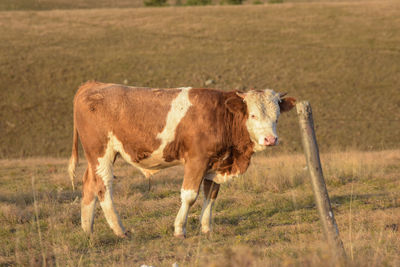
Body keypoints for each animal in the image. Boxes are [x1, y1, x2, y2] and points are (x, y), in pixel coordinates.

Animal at [67, 80, 296, 238]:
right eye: (253, 115)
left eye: (277, 116)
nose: (270, 139)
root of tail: (93, 84)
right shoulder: (197, 160)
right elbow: (189, 196)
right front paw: (179, 229)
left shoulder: (216, 163)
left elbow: (211, 195)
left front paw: (206, 228)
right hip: (101, 152)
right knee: (103, 186)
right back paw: (119, 230)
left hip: (97, 157)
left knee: (90, 183)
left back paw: (87, 229)